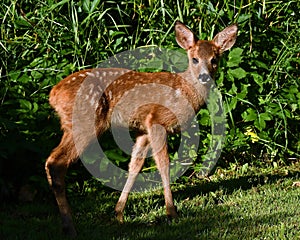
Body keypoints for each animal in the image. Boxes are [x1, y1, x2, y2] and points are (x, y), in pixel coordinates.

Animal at [45, 20, 237, 236]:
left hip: (72, 125)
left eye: (214, 59)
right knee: (55, 162)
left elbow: (135, 166)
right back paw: (69, 226)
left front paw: (119, 213)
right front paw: (171, 212)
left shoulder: (143, 130)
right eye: (194, 59)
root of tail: (53, 94)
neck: (184, 91)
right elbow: (164, 164)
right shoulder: (157, 120)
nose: (204, 76)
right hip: (84, 122)